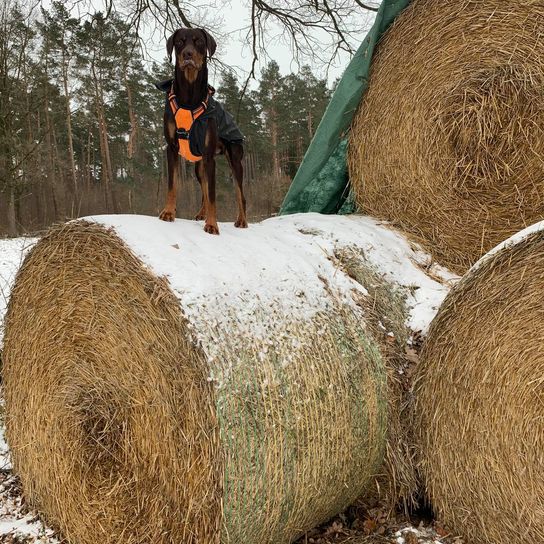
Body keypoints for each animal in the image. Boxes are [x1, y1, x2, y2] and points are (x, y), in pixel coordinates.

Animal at [156, 27, 248, 235]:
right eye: (180, 42)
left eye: (198, 41)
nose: (187, 54)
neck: (189, 98)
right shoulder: (172, 148)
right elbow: (173, 184)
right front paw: (168, 212)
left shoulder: (209, 156)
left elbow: (214, 194)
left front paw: (212, 225)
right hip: (199, 166)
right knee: (204, 188)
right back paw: (201, 214)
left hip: (235, 161)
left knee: (240, 193)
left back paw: (242, 220)